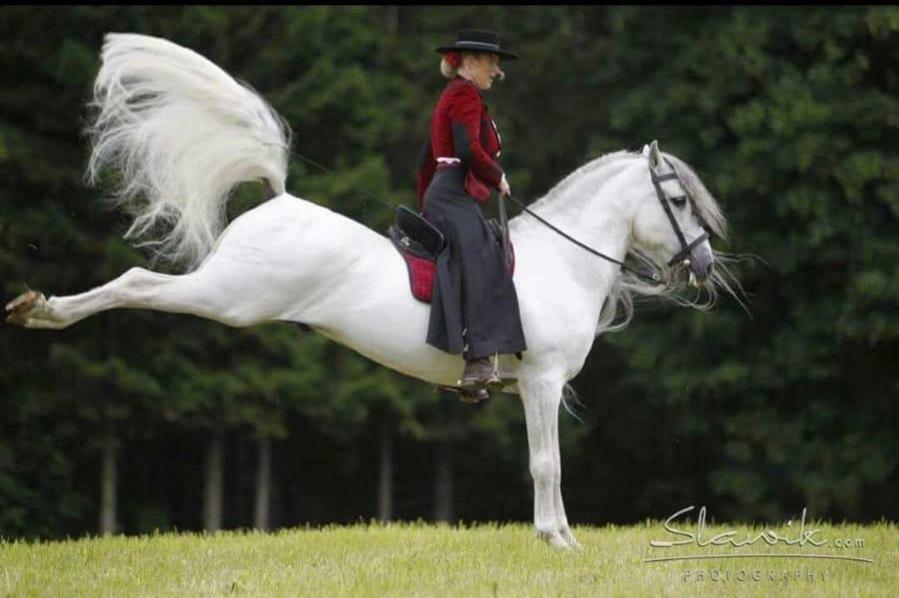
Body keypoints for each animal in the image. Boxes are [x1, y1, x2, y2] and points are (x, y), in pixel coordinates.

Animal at [5, 31, 740, 548]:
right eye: (677, 198)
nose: (703, 266)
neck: (562, 261)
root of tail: (279, 199)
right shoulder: (541, 380)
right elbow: (545, 464)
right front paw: (557, 540)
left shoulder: (540, 386)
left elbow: (547, 462)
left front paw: (559, 536)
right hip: (229, 296)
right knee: (136, 281)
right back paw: (41, 312)